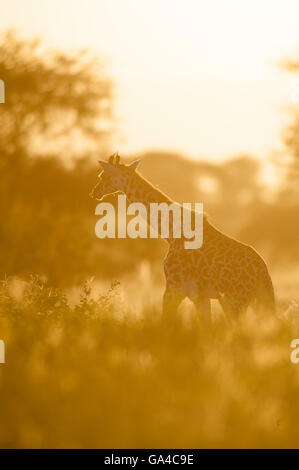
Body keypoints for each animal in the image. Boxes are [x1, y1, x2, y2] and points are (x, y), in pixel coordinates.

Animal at [89, 152, 276, 322]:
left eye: (102, 175)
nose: (94, 192)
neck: (171, 232)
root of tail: (263, 273)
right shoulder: (199, 296)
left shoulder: (174, 287)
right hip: (253, 301)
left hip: (235, 300)